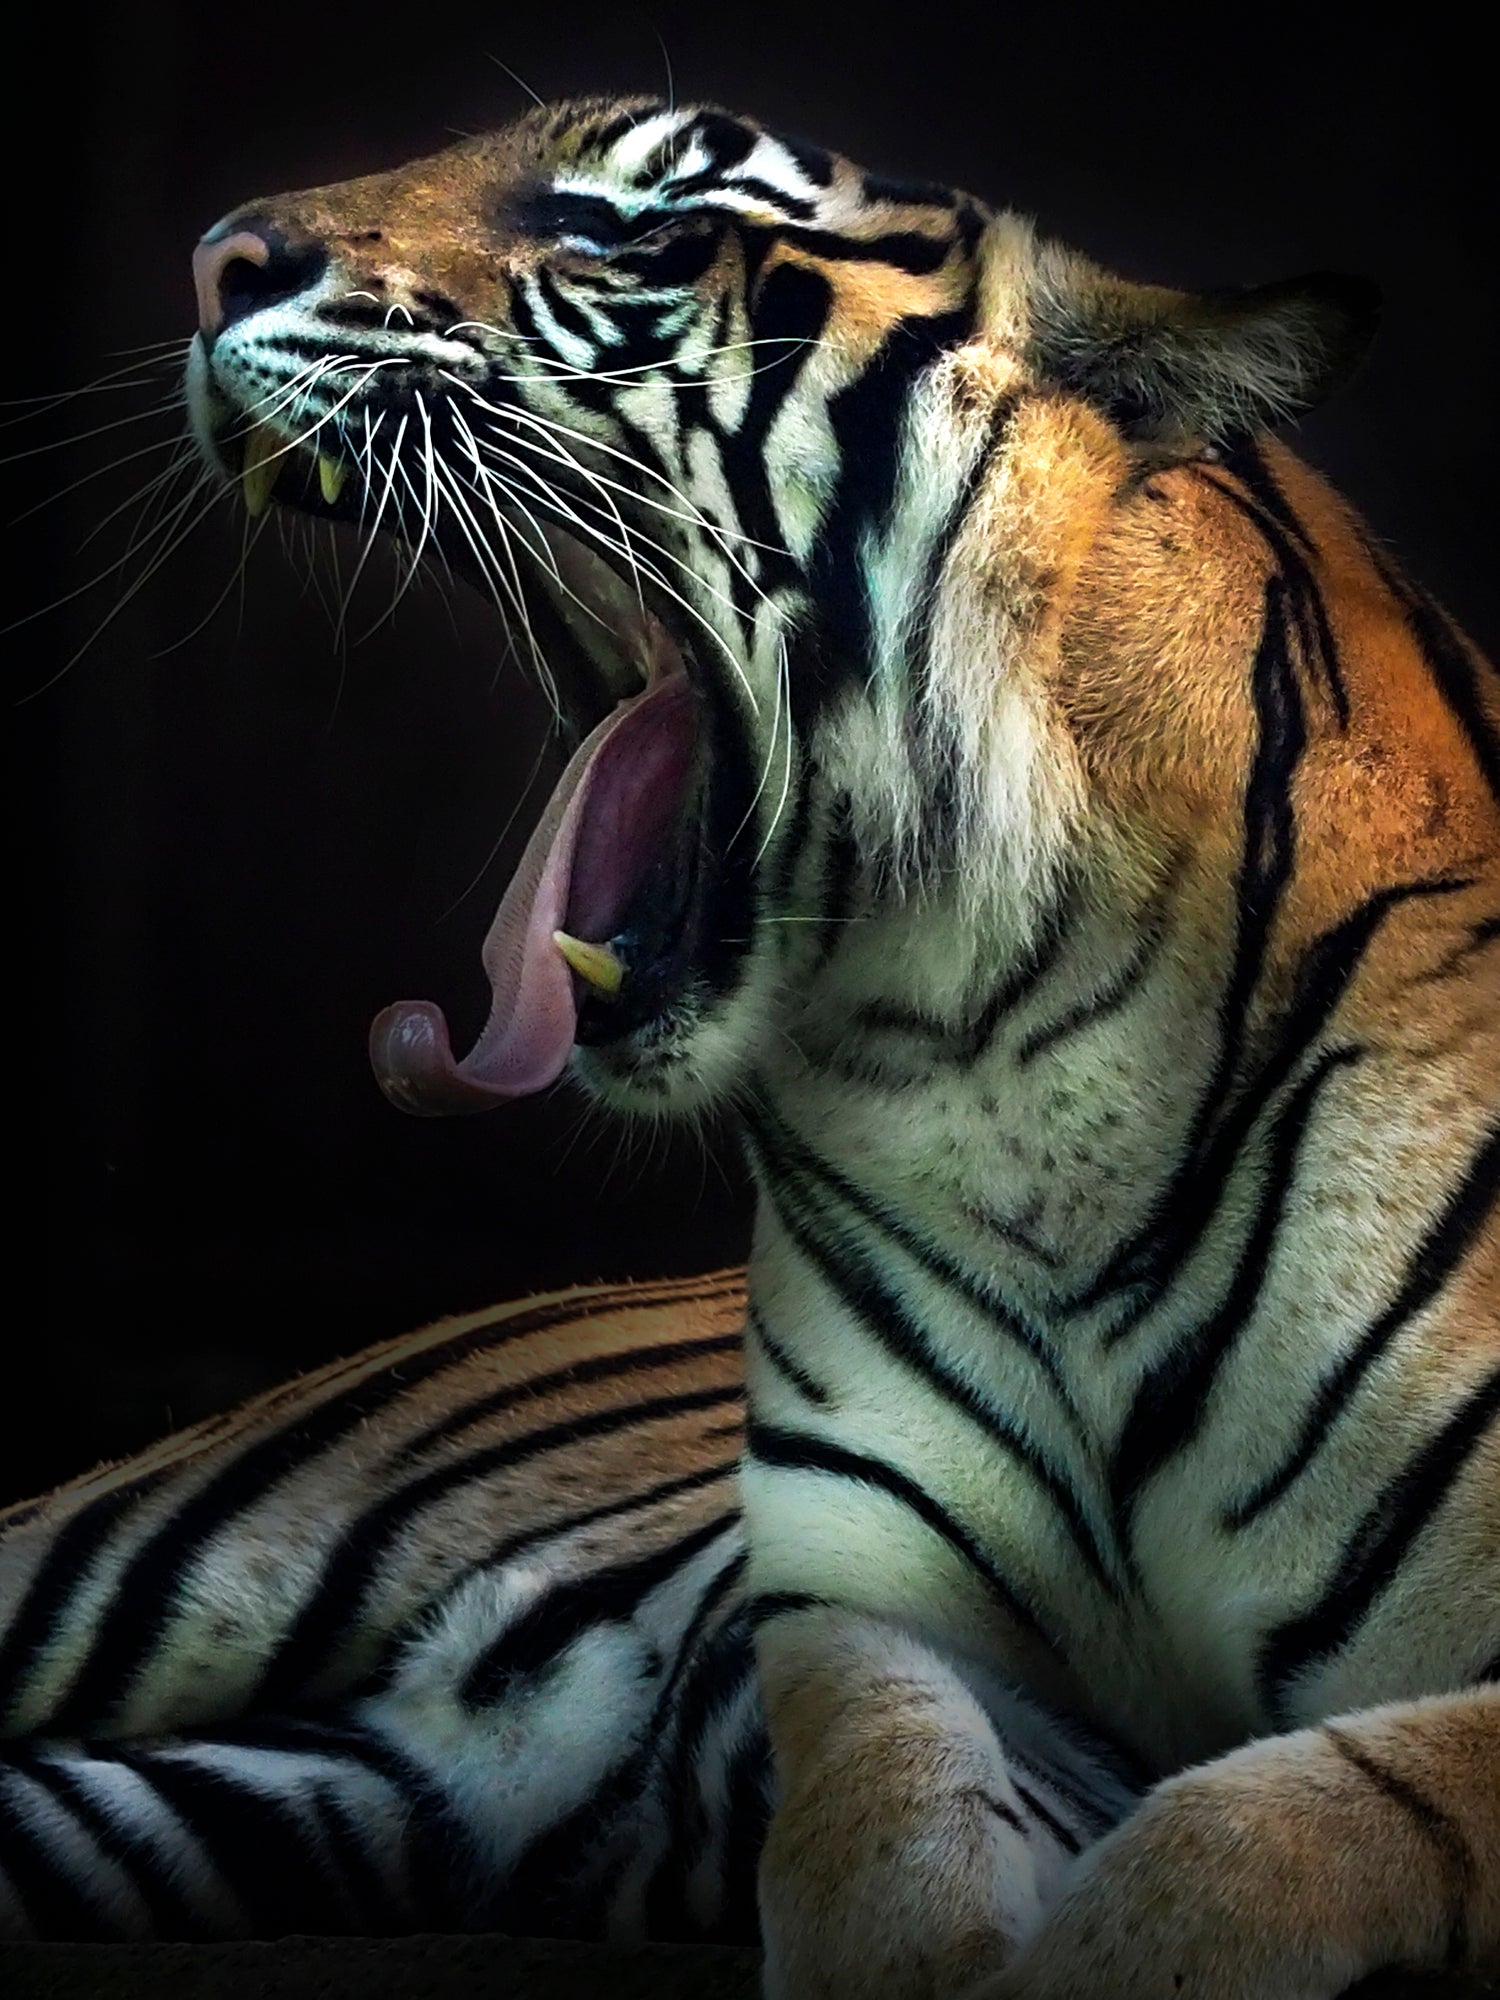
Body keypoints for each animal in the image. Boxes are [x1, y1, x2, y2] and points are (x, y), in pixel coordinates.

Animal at [1, 91, 1496, 2000]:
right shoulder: (877, 1608)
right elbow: (884, 1848)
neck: (1005, 1072)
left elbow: (1262, 1832)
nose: (212, 264)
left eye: (637, 227)